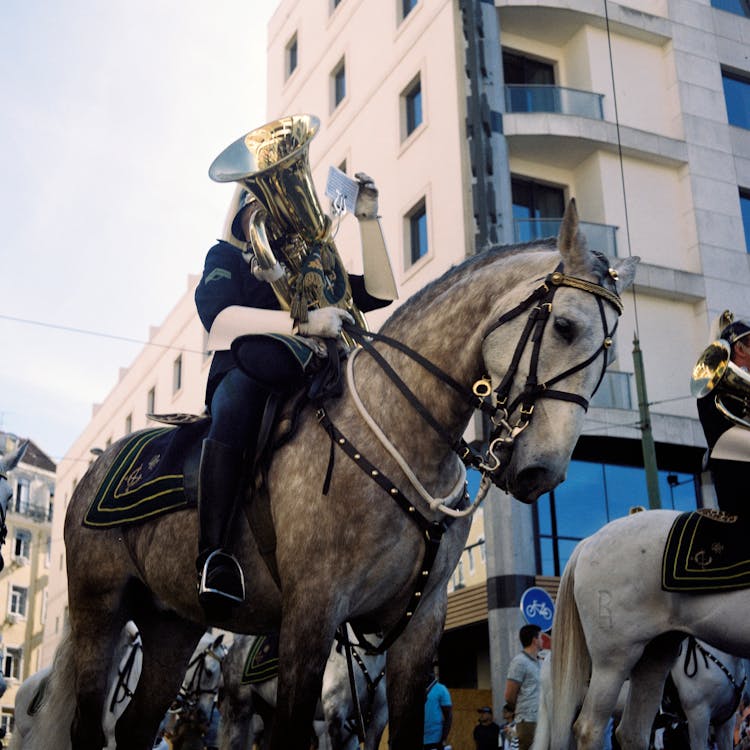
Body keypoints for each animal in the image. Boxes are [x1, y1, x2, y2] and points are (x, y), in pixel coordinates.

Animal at [57, 201, 636, 750]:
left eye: (610, 353)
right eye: (565, 326)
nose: (542, 470)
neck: (401, 436)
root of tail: (95, 469)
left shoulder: (418, 625)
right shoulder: (312, 614)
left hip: (172, 624)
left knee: (134, 727)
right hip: (100, 610)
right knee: (88, 727)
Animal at [548, 512, 750, 750]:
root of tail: (588, 542)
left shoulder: (725, 721)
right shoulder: (699, 715)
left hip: (654, 654)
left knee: (631, 733)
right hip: (613, 661)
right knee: (589, 729)